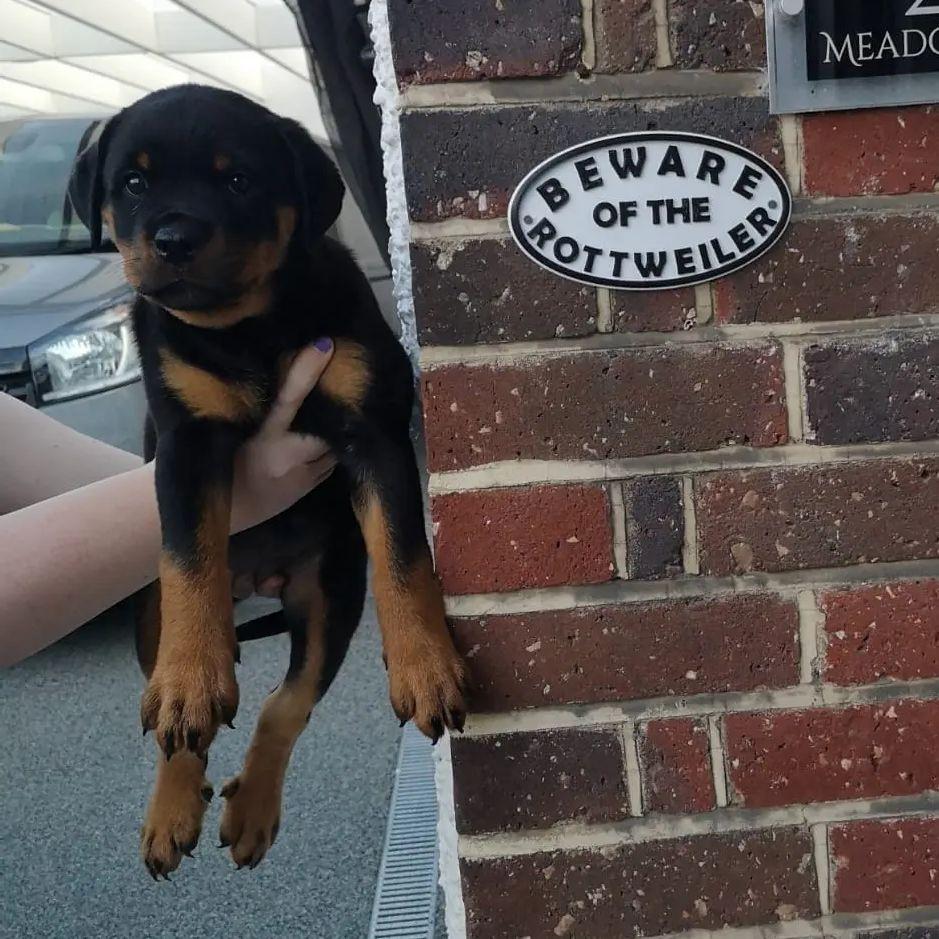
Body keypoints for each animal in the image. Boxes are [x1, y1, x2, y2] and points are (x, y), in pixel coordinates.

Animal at [68, 84, 468, 879]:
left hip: (331, 593)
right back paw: (173, 797)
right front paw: (191, 679)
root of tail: (258, 582)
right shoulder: (186, 444)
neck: (247, 327)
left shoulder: (373, 430)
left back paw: (250, 811)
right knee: (176, 723)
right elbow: (189, 556)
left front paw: (426, 664)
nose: (173, 239)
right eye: (133, 183)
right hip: (147, 610)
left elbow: (403, 553)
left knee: (288, 700)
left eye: (238, 180)